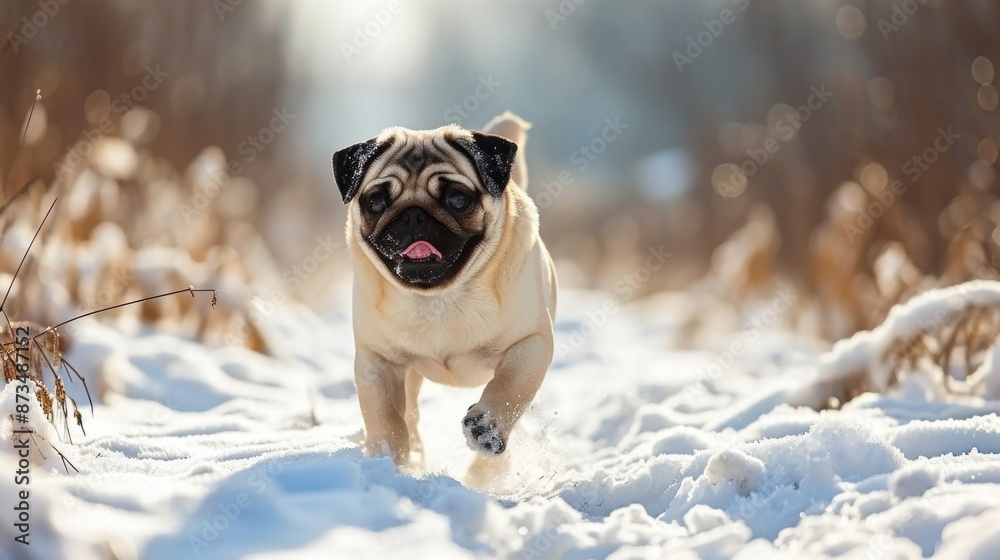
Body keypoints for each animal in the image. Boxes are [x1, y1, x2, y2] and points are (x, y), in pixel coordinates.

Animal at [334, 110, 556, 468]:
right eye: (377, 202)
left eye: (458, 200)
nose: (414, 215)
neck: (438, 298)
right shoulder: (377, 360)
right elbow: (385, 414)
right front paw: (387, 458)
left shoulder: (529, 344)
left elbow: (509, 388)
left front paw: (486, 429)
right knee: (409, 414)